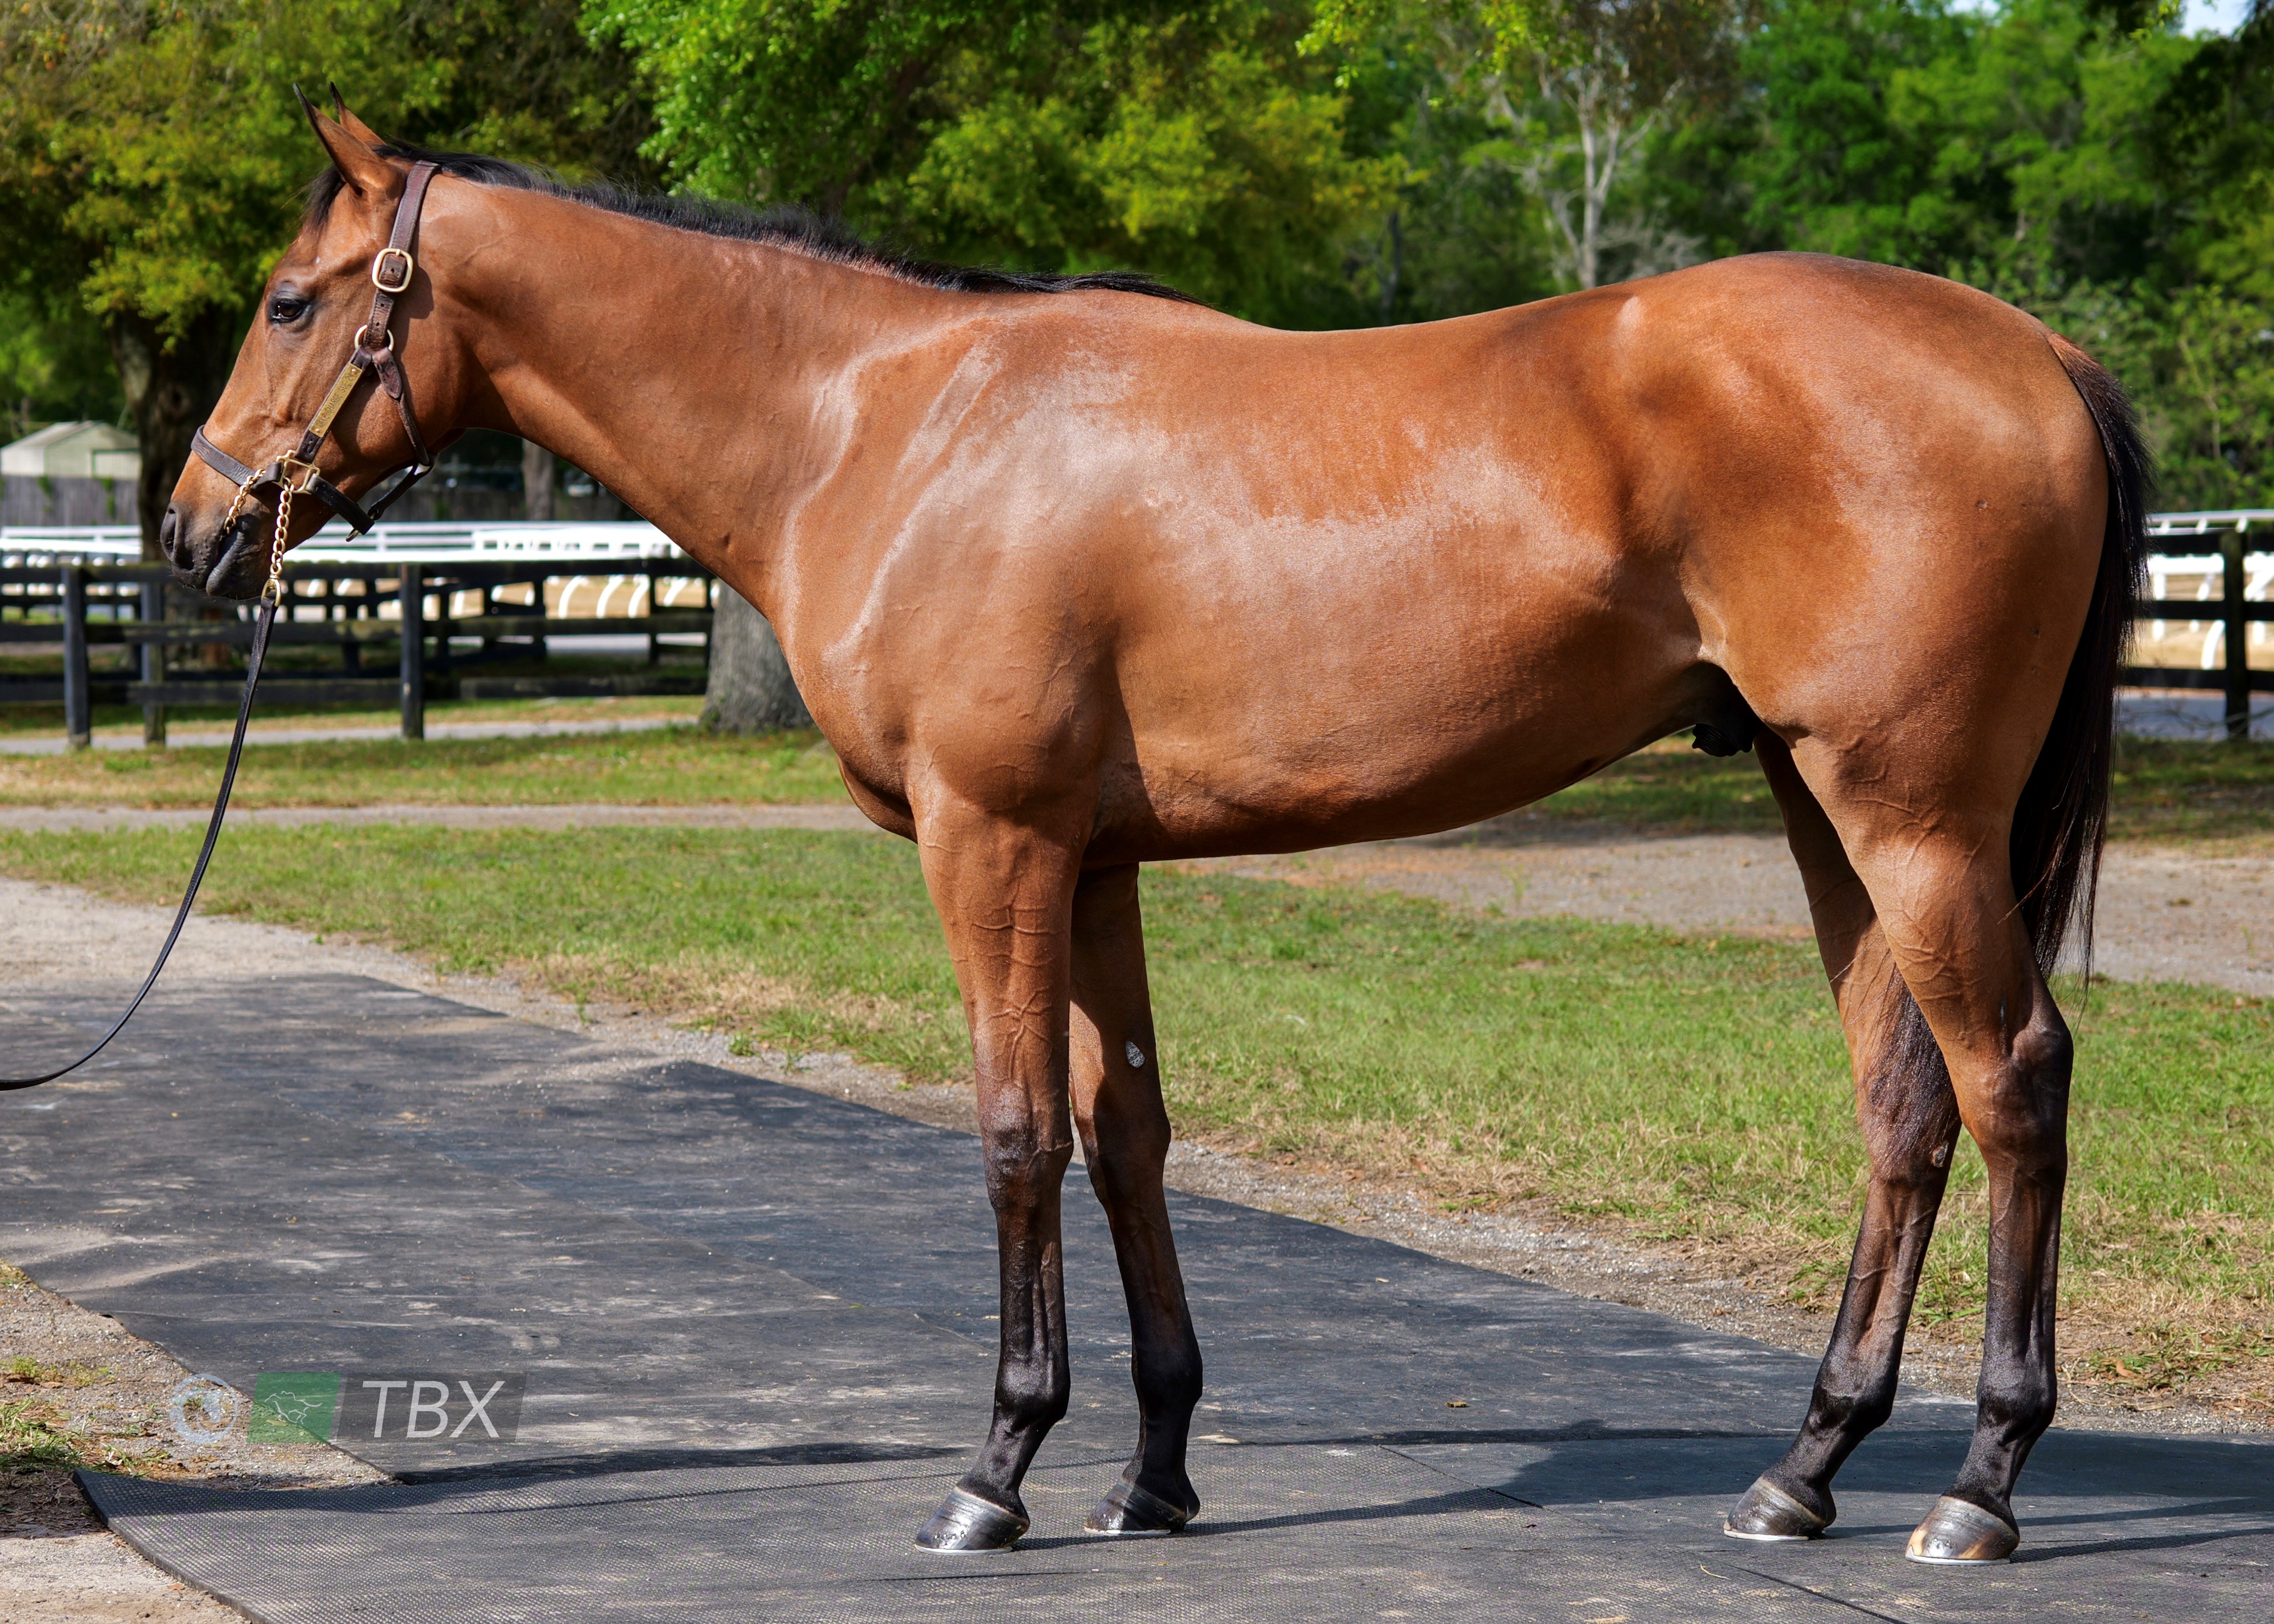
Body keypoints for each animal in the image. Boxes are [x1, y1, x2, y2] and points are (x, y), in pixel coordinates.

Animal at [161, 102, 2147, 1566]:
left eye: (289, 299)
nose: (192, 532)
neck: (883, 428)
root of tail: (2034, 348)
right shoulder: (1093, 859)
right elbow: (1127, 1138)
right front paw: (1153, 1471)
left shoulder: (990, 844)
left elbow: (1015, 1135)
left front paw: (997, 1472)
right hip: (1825, 806)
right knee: (1903, 1108)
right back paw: (1802, 1472)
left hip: (1909, 812)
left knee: (2014, 1080)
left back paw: (1977, 1489)